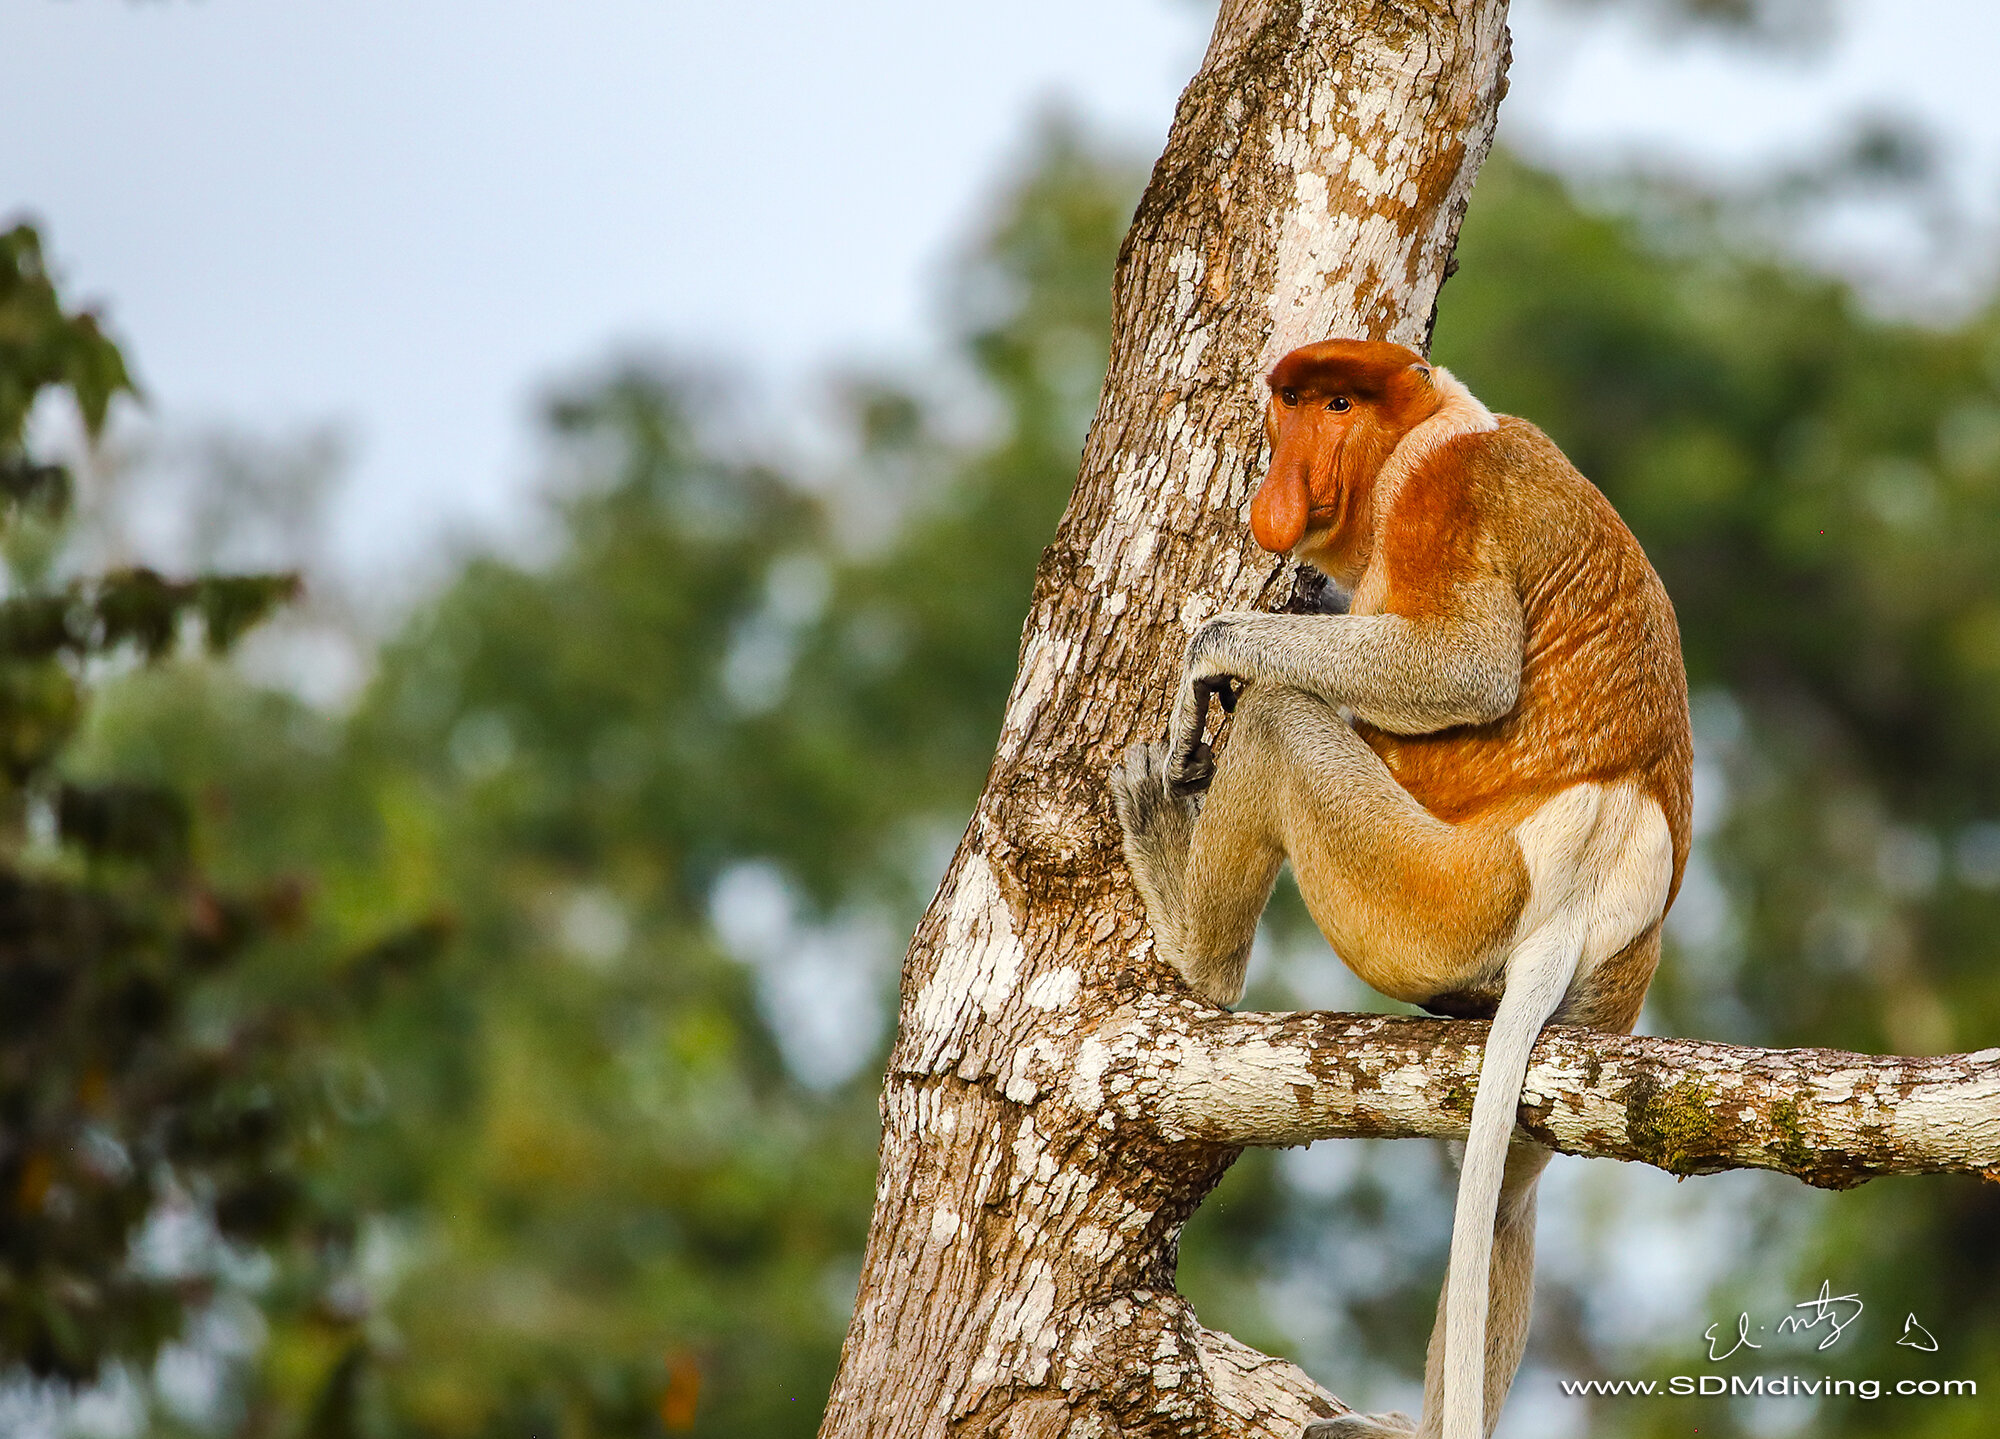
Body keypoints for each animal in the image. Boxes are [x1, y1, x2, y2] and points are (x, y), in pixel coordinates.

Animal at [1112, 339, 1688, 1439]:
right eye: (1291, 402)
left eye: (1338, 403)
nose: (1286, 480)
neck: (1439, 424)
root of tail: (1581, 894)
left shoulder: (1439, 497)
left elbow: (1458, 667)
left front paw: (1215, 653)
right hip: (1600, 992)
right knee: (1507, 1199)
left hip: (1431, 895)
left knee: (1284, 722)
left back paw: (1192, 938)